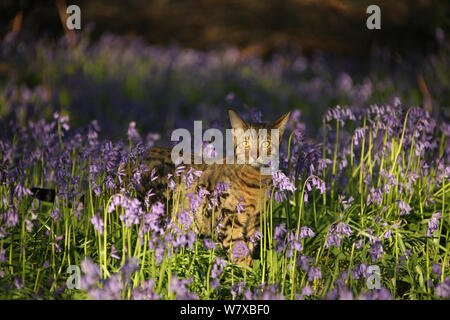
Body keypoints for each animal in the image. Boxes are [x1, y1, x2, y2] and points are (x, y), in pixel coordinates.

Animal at [140, 110, 292, 264]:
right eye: (246, 142)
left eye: (267, 144)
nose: (255, 155)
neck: (256, 183)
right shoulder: (227, 223)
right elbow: (240, 256)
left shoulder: (253, 225)